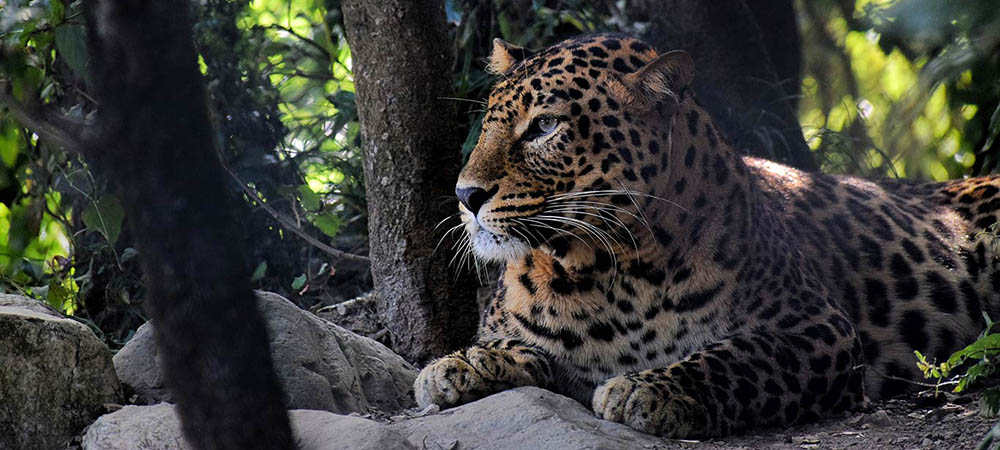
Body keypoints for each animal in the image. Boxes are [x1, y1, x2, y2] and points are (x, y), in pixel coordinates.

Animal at [412, 32, 1000, 440]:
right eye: (488, 124)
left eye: (544, 126)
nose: (465, 195)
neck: (605, 271)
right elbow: (512, 344)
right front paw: (457, 365)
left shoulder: (818, 328)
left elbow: (736, 356)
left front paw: (648, 390)